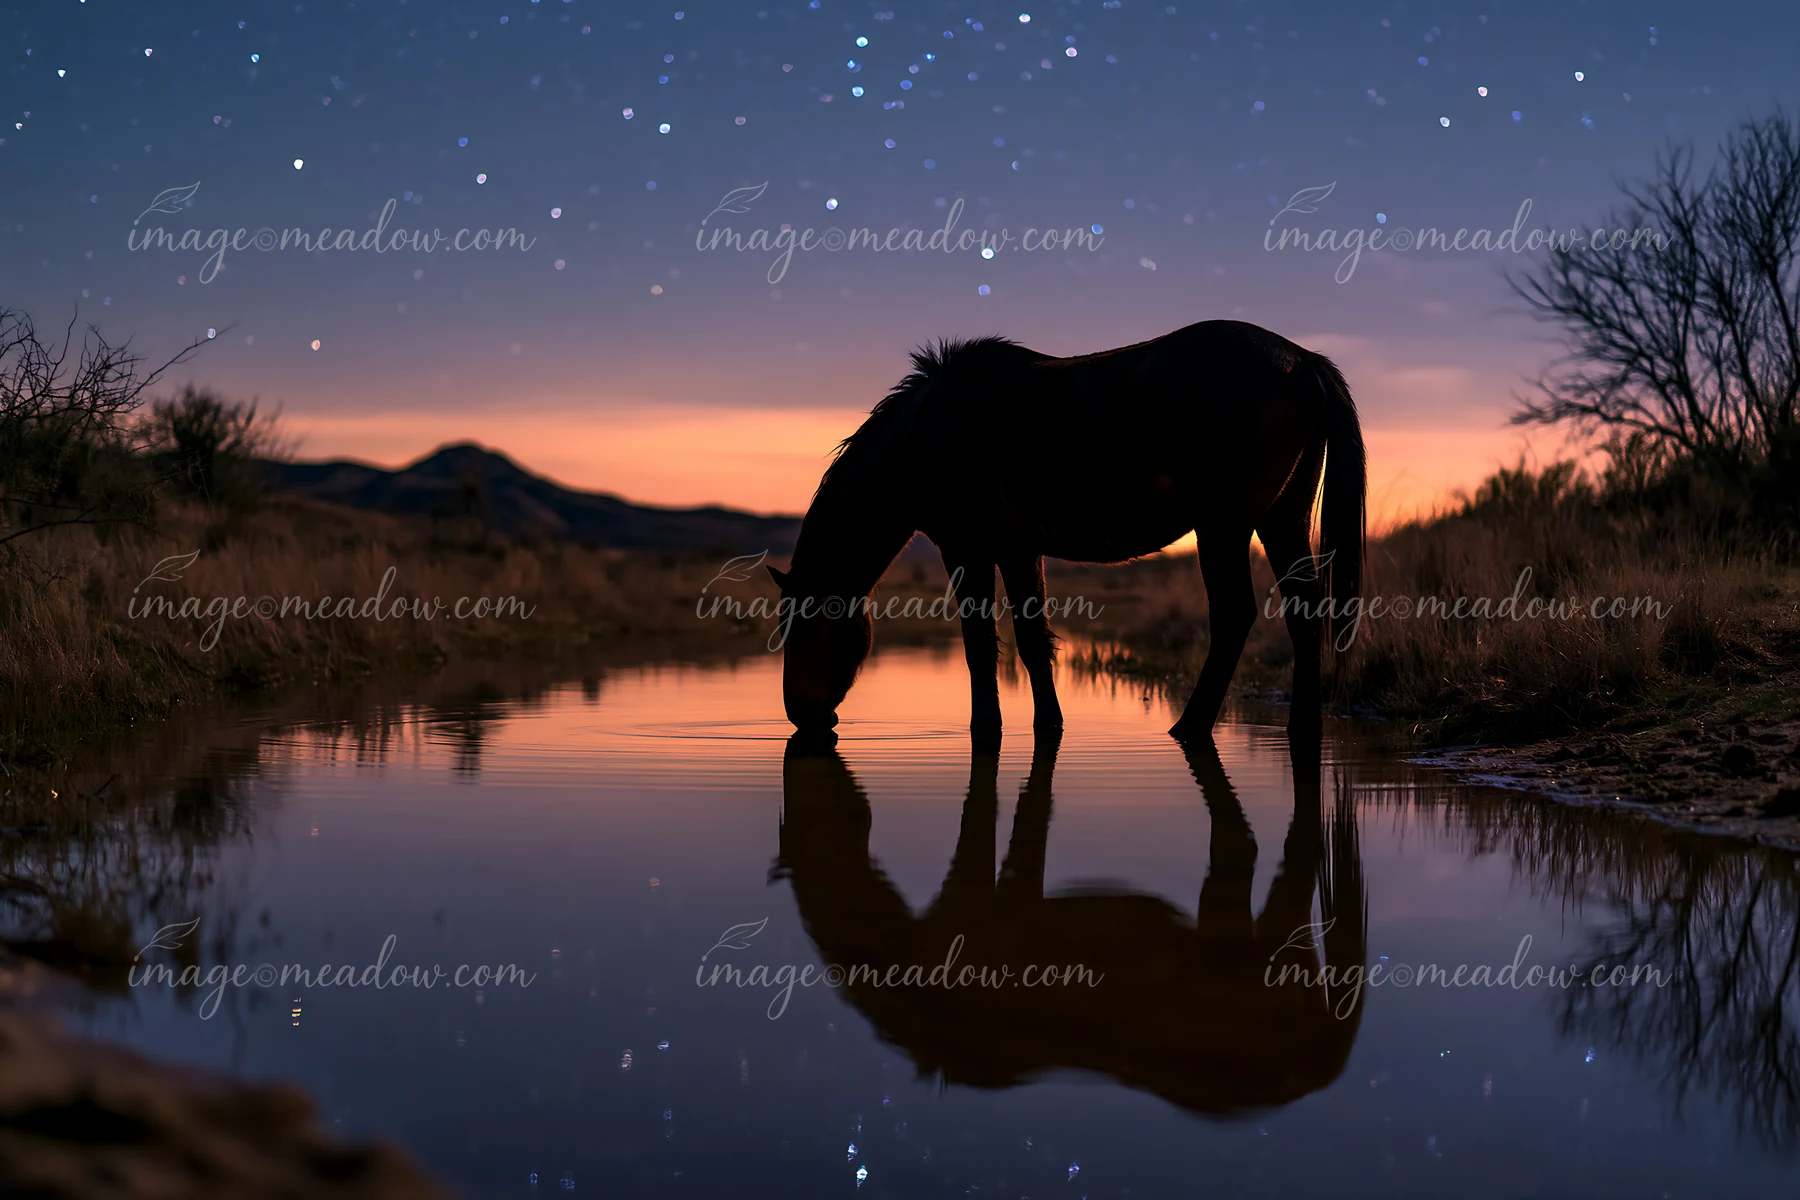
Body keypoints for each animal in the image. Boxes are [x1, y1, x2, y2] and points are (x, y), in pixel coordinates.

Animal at [768, 319, 1366, 740]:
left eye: (804, 624)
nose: (801, 713)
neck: (924, 435)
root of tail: (1304, 361)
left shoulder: (967, 547)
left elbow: (981, 642)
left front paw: (986, 731)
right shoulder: (1017, 548)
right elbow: (1033, 639)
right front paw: (1048, 727)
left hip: (1224, 526)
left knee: (1234, 615)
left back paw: (1190, 729)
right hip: (1282, 518)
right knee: (1304, 613)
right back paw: (1302, 731)